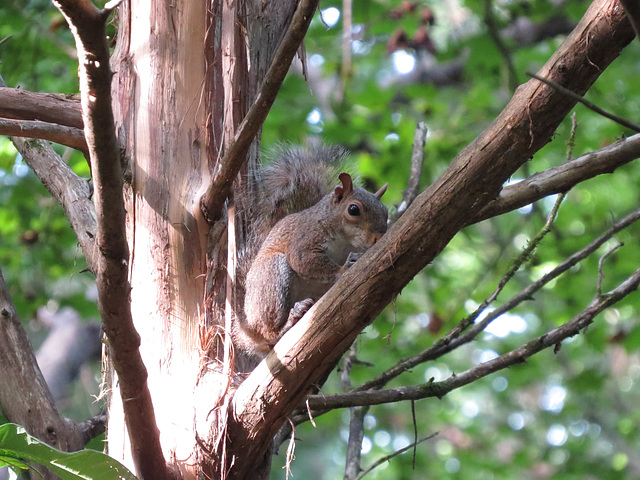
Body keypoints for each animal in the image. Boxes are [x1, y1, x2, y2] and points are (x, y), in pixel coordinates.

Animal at [232, 144, 388, 358]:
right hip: (272, 274)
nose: (379, 237)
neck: (346, 241)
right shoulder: (304, 238)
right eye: (353, 209)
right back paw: (286, 323)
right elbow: (304, 260)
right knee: (268, 331)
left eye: (386, 212)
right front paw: (343, 268)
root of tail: (247, 328)